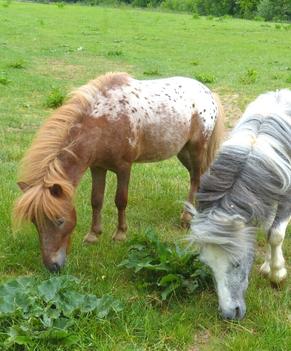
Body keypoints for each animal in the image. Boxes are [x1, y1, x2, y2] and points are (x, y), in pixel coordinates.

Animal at [12, 73, 225, 274]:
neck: (104, 122)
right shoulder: (97, 168)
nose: (52, 266)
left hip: (196, 149)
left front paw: (120, 234)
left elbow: (120, 200)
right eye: (35, 222)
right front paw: (93, 235)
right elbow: (96, 200)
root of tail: (208, 93)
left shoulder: (124, 167)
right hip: (183, 152)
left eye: (60, 220)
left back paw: (187, 218)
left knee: (196, 179)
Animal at [188, 88, 291, 322]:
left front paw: (278, 274)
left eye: (236, 262)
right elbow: (268, 231)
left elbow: (275, 235)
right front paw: (267, 267)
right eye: (209, 265)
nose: (229, 314)